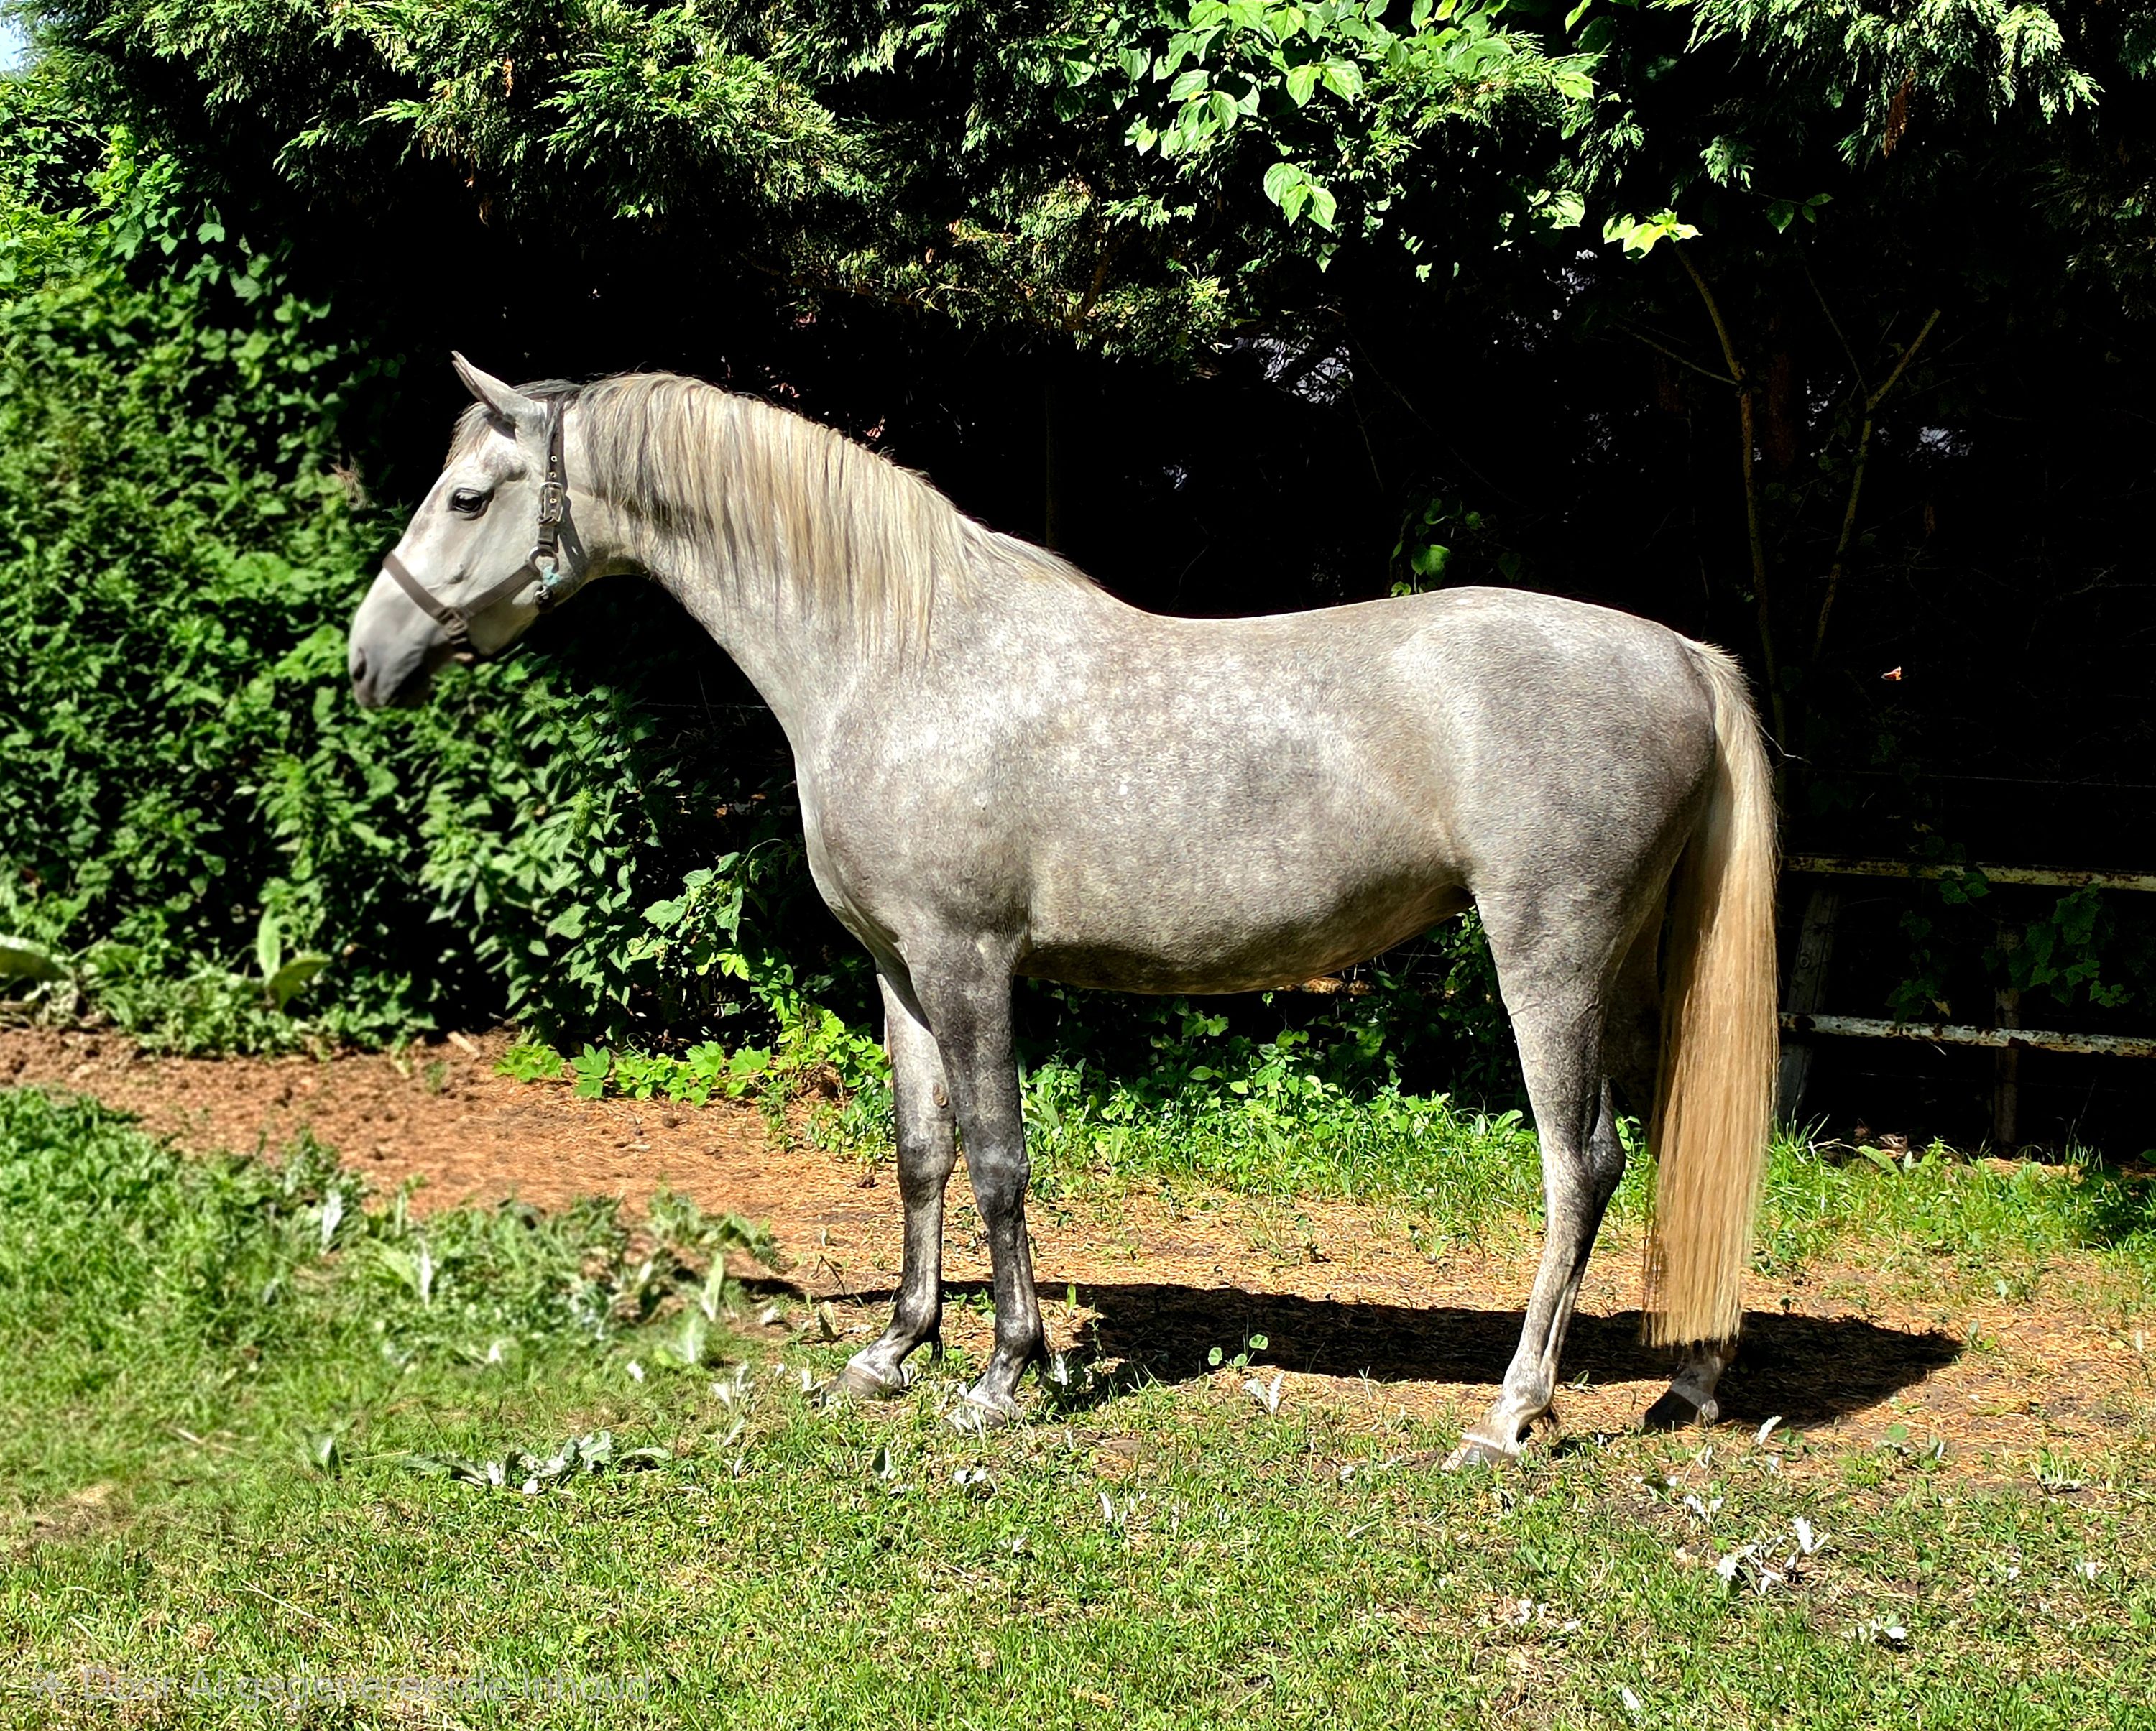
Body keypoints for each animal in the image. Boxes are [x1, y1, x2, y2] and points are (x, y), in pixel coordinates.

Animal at [347, 357, 1778, 1465]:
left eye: (469, 494)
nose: (368, 659)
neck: (895, 655)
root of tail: (1681, 654)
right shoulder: (899, 969)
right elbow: (920, 1152)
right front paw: (893, 1349)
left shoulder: (969, 962)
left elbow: (997, 1160)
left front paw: (1000, 1375)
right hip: (1634, 968)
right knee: (1674, 1152)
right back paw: (1689, 1378)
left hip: (1548, 955)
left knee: (1581, 1162)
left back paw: (1513, 1411)